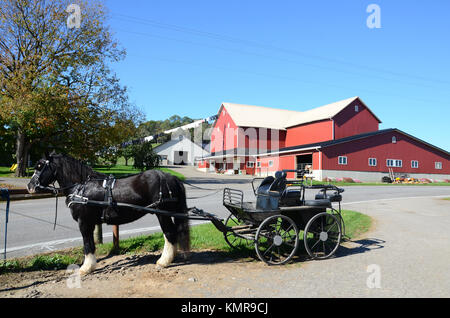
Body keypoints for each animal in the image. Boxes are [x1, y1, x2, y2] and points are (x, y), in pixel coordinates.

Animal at [26, 153, 190, 274]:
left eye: (40, 166)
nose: (30, 186)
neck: (81, 188)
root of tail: (170, 177)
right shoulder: (90, 223)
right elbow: (91, 244)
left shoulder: (84, 222)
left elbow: (87, 244)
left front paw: (86, 268)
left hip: (163, 214)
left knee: (169, 234)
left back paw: (164, 261)